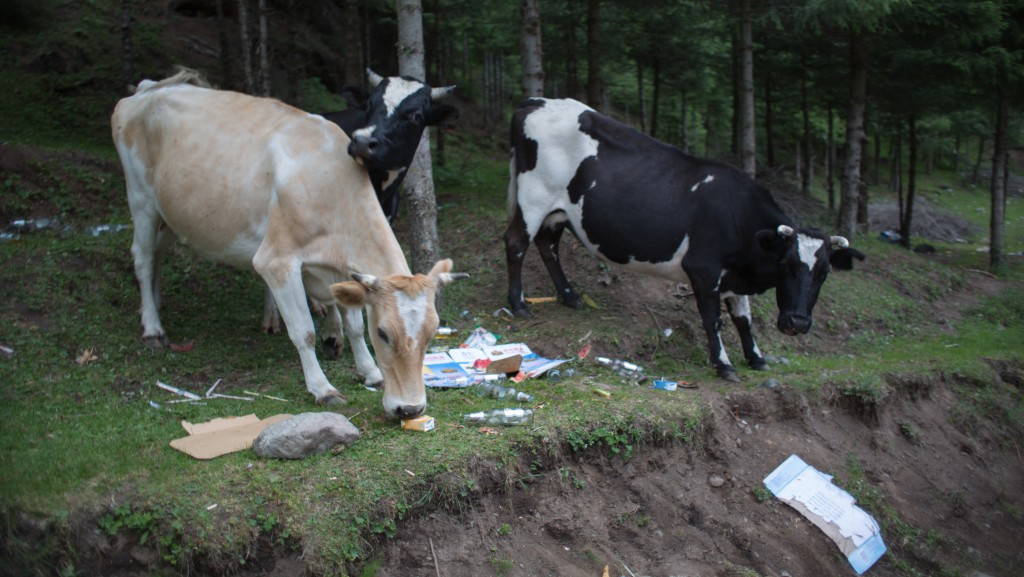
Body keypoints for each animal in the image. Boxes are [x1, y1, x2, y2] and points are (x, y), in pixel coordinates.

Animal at [503, 96, 864, 381]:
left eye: (824, 273)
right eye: (786, 264)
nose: (797, 322)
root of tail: (536, 101)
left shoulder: (732, 274)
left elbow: (743, 319)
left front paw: (756, 358)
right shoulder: (703, 267)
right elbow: (713, 318)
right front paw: (724, 365)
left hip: (558, 212)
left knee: (548, 245)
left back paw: (570, 296)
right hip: (534, 198)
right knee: (516, 242)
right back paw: (518, 304)